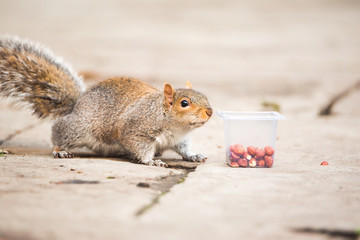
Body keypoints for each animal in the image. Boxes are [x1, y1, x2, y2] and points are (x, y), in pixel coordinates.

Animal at [0, 35, 212, 167]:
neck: (175, 126)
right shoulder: (137, 130)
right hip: (79, 129)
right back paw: (60, 150)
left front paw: (194, 155)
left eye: (205, 96)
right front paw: (152, 161)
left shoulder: (179, 139)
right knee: (60, 131)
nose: (210, 112)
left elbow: (184, 149)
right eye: (184, 103)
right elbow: (140, 148)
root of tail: (76, 105)